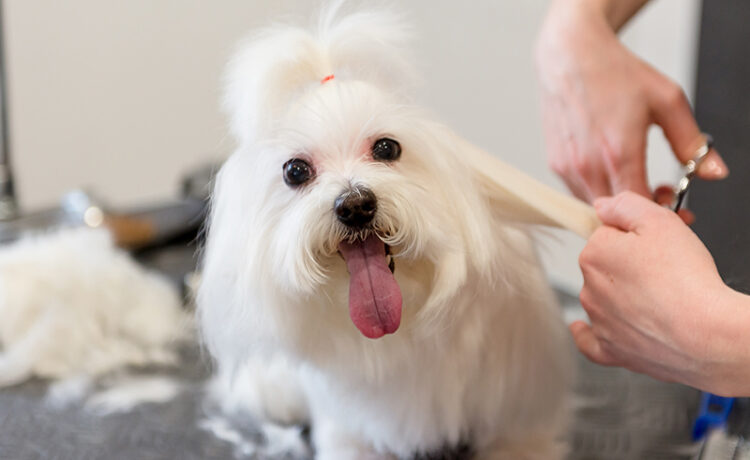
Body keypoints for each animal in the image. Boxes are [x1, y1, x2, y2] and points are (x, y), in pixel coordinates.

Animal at [200, 4, 576, 460]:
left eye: (386, 148)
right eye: (295, 171)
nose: (355, 205)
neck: (405, 324)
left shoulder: (519, 408)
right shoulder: (350, 429)